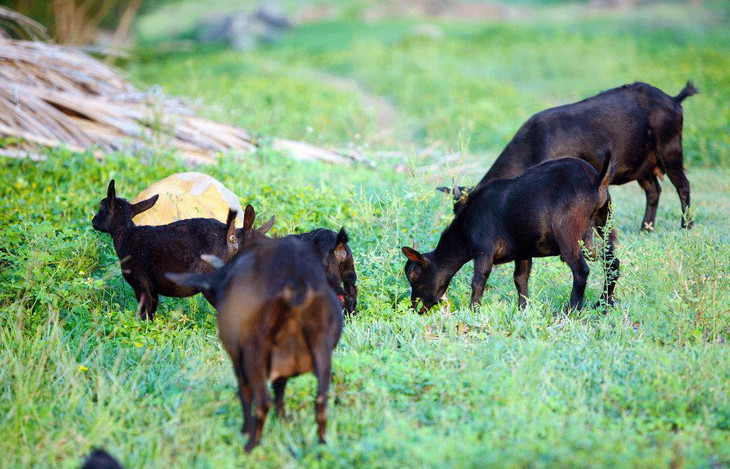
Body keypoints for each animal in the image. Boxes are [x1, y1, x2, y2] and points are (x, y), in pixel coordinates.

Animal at [91, 178, 272, 318]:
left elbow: (145, 314)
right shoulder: (152, 289)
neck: (126, 236)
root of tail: (231, 237)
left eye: (101, 207)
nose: (93, 221)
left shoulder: (140, 283)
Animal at [166, 236, 342, 452]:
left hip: (253, 353)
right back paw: (322, 445)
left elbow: (245, 392)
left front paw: (245, 430)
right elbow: (280, 390)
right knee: (321, 401)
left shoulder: (239, 359)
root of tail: (295, 280)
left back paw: (250, 446)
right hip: (322, 349)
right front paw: (282, 422)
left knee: (262, 401)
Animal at [406, 155, 616, 312]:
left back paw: (571, 310)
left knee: (581, 270)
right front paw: (523, 309)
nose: (415, 307)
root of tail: (597, 180)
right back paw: (604, 304)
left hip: (568, 232)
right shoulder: (523, 251)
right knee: (611, 261)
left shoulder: (484, 250)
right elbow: (520, 280)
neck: (466, 228)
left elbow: (478, 280)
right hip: (600, 223)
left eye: (413, 276)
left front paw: (473, 310)